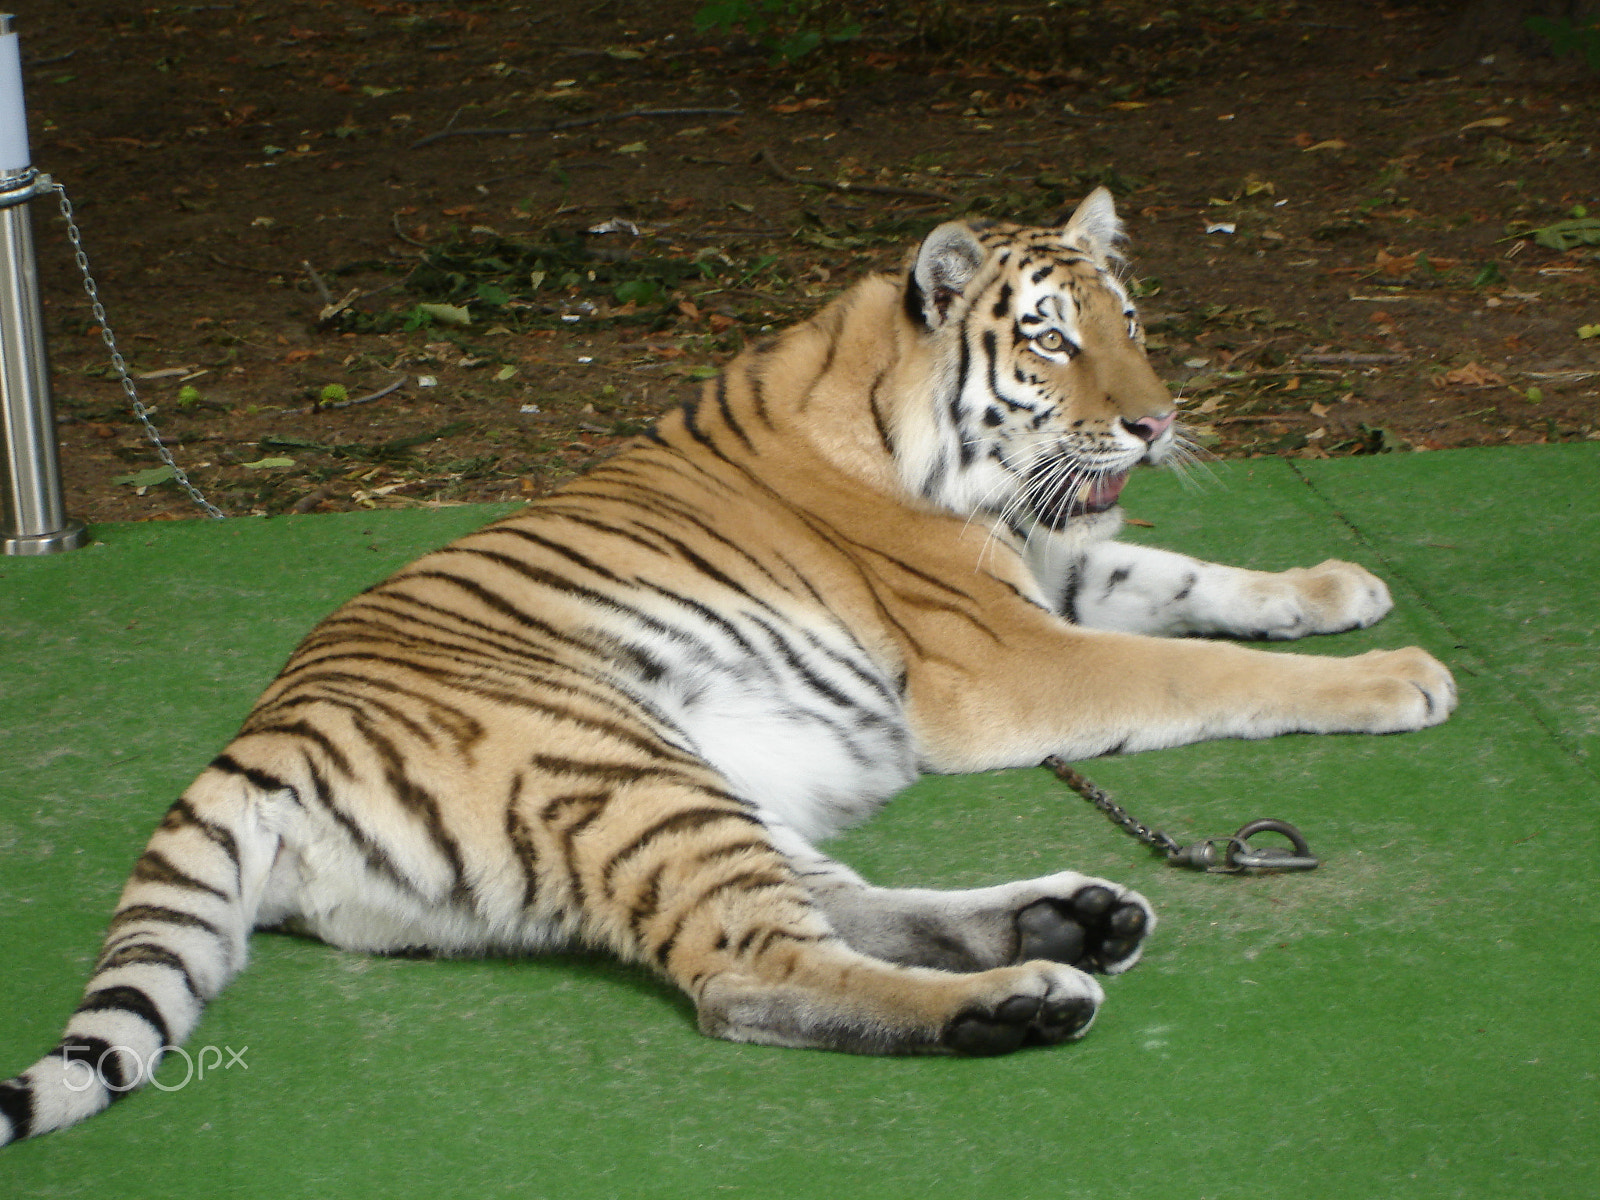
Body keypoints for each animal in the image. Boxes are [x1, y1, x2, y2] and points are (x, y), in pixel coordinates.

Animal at [0, 188, 1459, 1145]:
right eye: (1052, 338)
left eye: (1133, 319)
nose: (1157, 424)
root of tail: (248, 752)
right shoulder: (1010, 662)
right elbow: (1196, 667)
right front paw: (1400, 673)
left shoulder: (1054, 577)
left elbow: (1194, 585)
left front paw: (1338, 587)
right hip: (621, 769)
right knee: (753, 974)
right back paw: (1023, 997)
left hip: (684, 784)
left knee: (828, 905)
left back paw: (1071, 921)